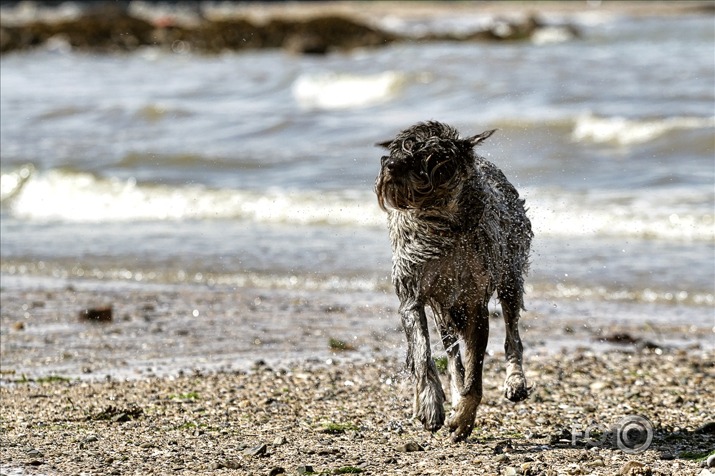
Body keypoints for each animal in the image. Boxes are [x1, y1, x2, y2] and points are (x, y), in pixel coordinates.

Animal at [374, 121, 532, 440]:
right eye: (398, 148)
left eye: (434, 156)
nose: (392, 165)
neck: (441, 223)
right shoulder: (413, 300)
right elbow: (423, 355)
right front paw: (430, 404)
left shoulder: (475, 307)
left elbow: (475, 377)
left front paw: (463, 418)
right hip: (443, 313)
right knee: (451, 357)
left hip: (509, 279)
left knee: (513, 338)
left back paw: (515, 381)